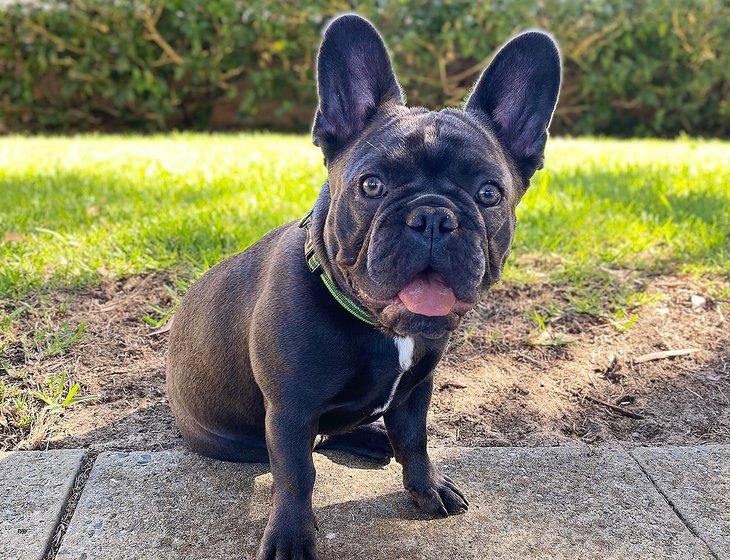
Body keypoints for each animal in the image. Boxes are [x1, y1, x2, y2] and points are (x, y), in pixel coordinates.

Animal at [168, 12, 560, 560]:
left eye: (489, 194)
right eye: (371, 185)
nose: (433, 217)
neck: (379, 327)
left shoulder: (414, 392)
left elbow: (415, 443)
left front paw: (425, 489)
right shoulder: (289, 410)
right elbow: (296, 475)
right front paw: (291, 537)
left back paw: (372, 436)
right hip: (238, 438)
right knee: (308, 447)